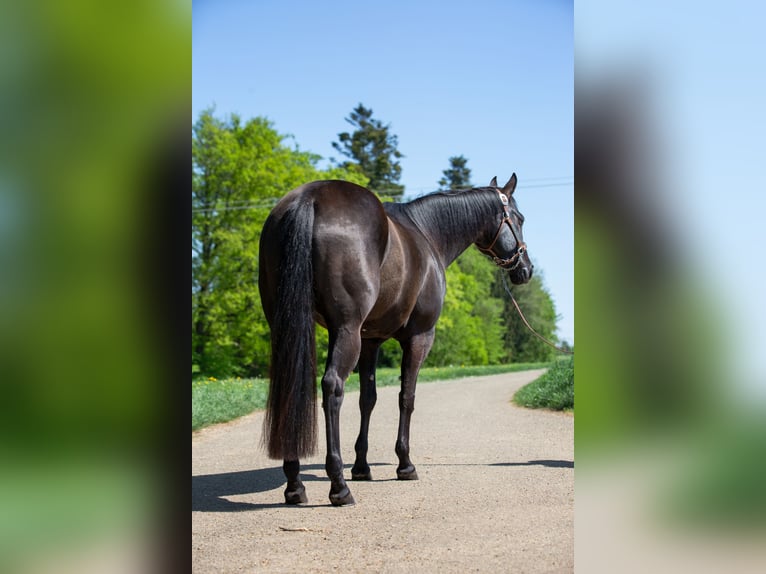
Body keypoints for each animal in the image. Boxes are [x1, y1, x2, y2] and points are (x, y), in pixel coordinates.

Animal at [258, 175, 533, 506]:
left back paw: (295, 484)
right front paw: (405, 464)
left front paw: (361, 467)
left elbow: (368, 399)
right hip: (346, 330)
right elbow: (407, 398)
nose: (526, 269)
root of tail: (310, 197)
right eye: (519, 218)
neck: (427, 233)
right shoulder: (419, 338)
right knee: (333, 387)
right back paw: (338, 485)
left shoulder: (371, 341)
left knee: (291, 386)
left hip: (287, 327)